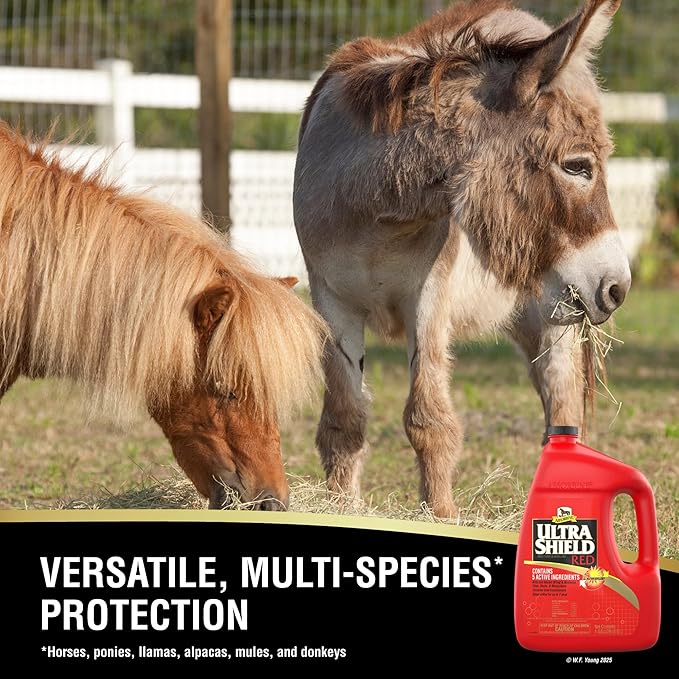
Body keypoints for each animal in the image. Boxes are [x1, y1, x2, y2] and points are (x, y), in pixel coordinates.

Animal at [293, 0, 630, 517]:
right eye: (577, 166)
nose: (619, 288)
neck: (377, 216)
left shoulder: (430, 294)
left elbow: (429, 419)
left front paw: (441, 516)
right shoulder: (330, 298)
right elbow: (344, 418)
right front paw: (341, 507)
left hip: (554, 315)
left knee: (562, 398)